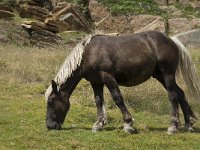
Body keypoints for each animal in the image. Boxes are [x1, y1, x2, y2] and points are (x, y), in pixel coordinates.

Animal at [44, 31, 199, 134]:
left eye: (51, 101)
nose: (49, 125)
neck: (88, 53)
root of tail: (171, 40)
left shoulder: (108, 77)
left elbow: (117, 98)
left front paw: (128, 124)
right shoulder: (96, 82)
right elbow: (98, 101)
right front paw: (99, 124)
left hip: (167, 75)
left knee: (173, 96)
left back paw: (173, 125)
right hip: (160, 76)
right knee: (180, 94)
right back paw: (189, 123)